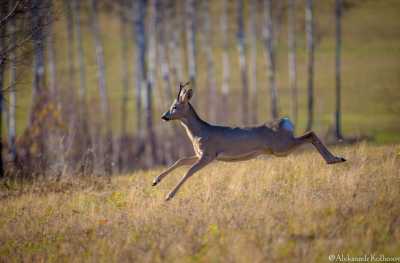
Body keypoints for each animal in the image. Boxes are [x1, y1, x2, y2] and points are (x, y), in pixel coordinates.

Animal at [152, 82, 346, 202]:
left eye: (174, 107)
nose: (163, 116)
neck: (199, 133)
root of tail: (286, 121)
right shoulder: (200, 154)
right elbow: (181, 160)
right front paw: (155, 181)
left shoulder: (209, 154)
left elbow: (189, 171)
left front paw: (169, 196)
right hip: (281, 147)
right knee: (309, 135)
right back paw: (336, 159)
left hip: (281, 147)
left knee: (310, 134)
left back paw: (335, 159)